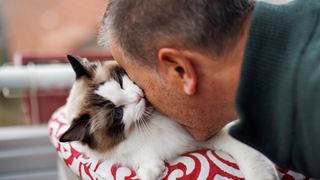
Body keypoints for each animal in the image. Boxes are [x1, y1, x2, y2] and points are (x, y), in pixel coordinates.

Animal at [60, 55, 280, 180]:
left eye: (120, 82)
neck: (149, 123)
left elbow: (251, 158)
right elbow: (142, 164)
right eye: (118, 113)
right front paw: (151, 171)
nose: (139, 97)